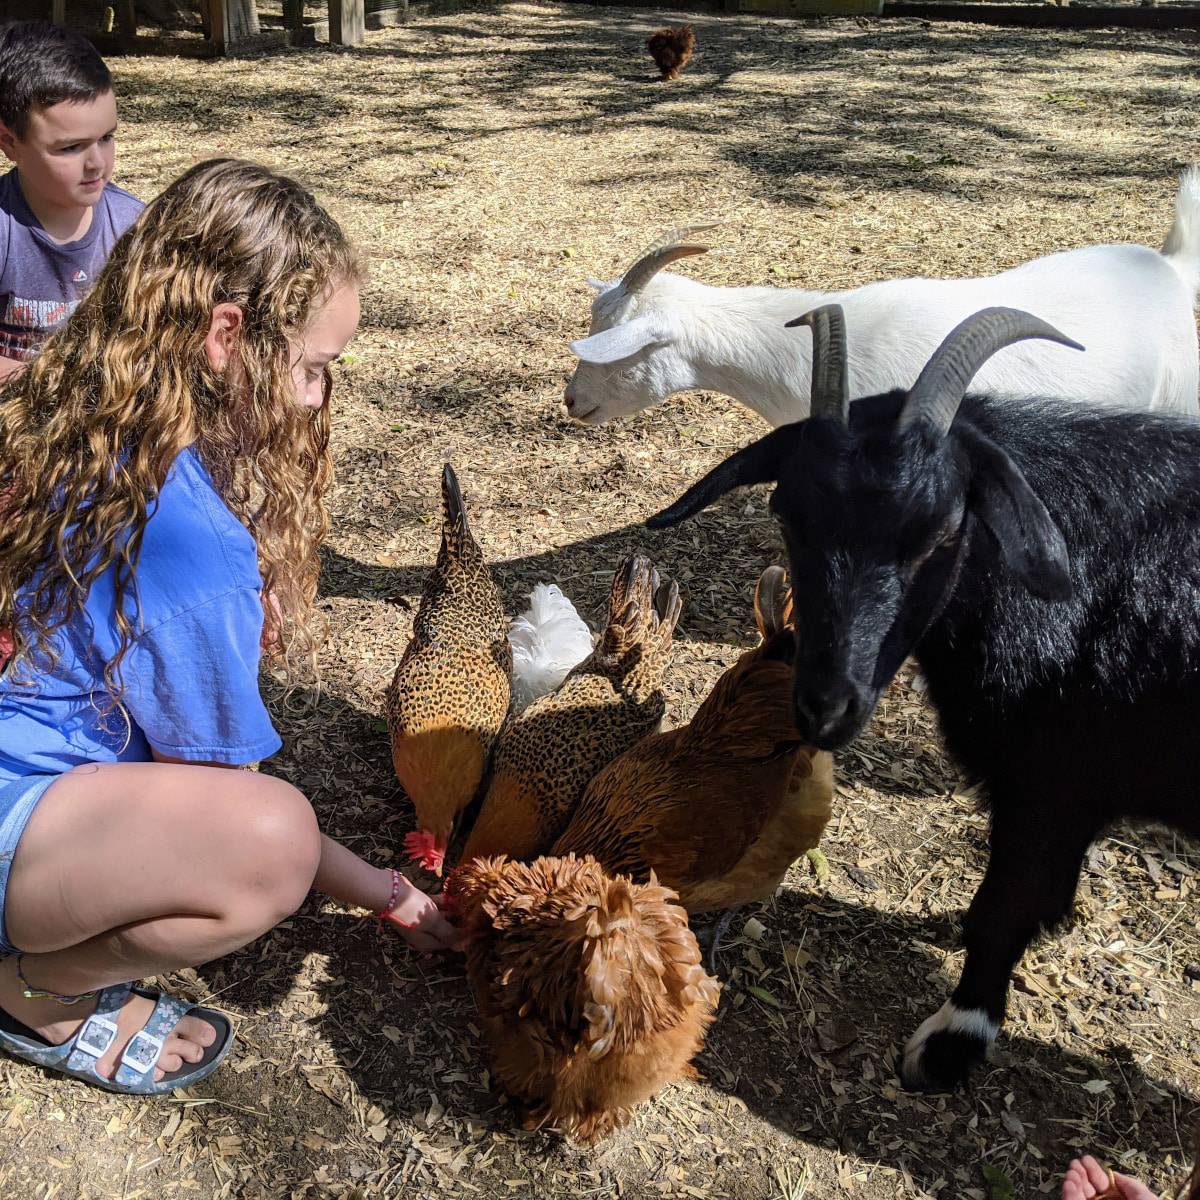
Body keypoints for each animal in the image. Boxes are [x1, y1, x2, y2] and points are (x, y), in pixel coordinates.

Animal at [648, 304, 1200, 1094]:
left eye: (943, 531)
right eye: (786, 513)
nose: (825, 706)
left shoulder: (1051, 785)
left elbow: (1003, 908)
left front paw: (949, 1043)